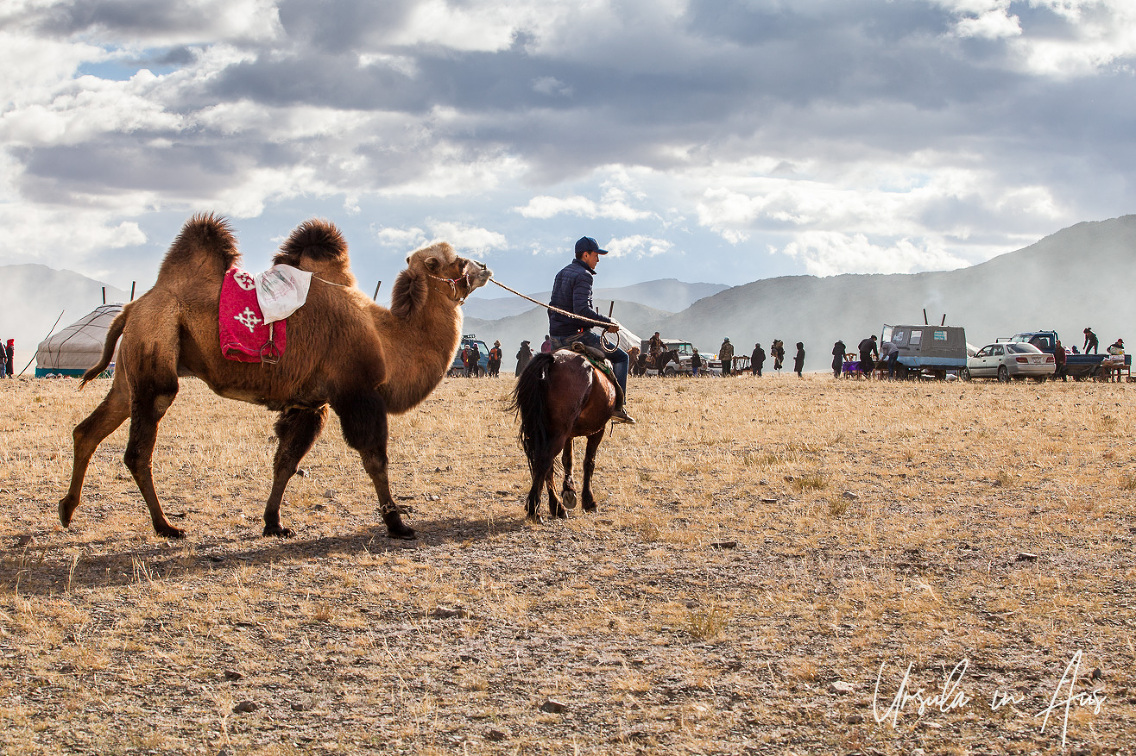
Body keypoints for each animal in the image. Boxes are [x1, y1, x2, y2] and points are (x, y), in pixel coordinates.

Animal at [62, 214, 488, 538]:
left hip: (132, 368)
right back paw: (165, 526)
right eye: (456, 261)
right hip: (156, 355)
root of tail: (133, 306)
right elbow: (375, 459)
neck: (387, 337)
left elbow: (285, 461)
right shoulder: (357, 394)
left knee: (89, 429)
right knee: (138, 449)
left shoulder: (309, 402)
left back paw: (67, 510)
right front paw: (397, 524)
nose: (485, 267)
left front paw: (273, 523)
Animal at [511, 350, 617, 518]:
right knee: (544, 460)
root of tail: (552, 360)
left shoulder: (569, 434)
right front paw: (589, 501)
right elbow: (589, 462)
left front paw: (569, 490)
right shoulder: (598, 430)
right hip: (558, 432)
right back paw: (535, 509)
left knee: (544, 464)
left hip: (547, 431)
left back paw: (556, 506)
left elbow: (568, 459)